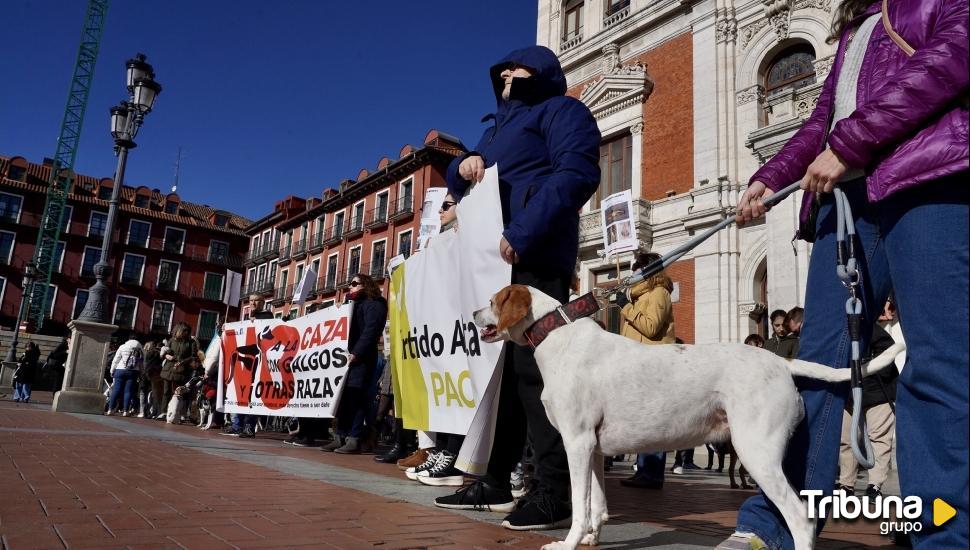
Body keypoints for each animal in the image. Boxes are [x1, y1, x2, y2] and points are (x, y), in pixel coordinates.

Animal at [472, 286, 904, 550]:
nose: (474, 313)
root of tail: (782, 363)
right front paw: (593, 538)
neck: (557, 338)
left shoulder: (575, 443)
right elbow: (597, 504)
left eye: (493, 300)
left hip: (756, 452)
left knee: (799, 516)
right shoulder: (593, 448)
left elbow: (579, 505)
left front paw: (568, 542)